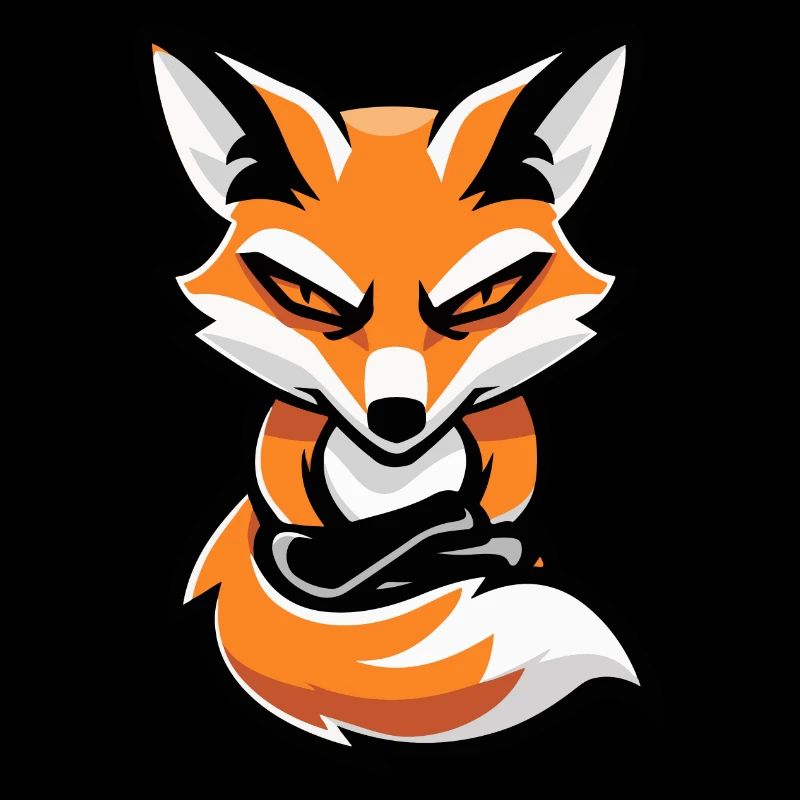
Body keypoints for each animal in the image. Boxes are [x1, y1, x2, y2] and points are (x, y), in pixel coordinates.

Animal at [153, 43, 638, 744]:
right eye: (304, 296)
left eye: (487, 297)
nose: (397, 418)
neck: (393, 481)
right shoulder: (285, 464)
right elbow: (314, 550)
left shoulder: (507, 456)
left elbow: (485, 536)